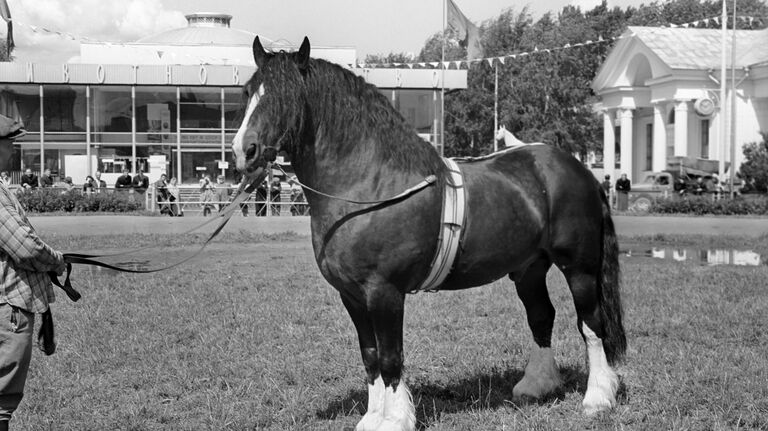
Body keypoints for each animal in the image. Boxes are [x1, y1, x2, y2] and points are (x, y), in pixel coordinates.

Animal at [232, 38, 624, 431]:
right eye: (248, 92)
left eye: (285, 96)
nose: (242, 150)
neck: (370, 183)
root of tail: (579, 170)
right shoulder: (352, 295)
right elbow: (370, 355)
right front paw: (372, 418)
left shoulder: (384, 292)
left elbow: (390, 357)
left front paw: (395, 419)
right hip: (529, 269)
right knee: (542, 317)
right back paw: (536, 386)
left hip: (579, 268)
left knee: (591, 324)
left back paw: (597, 398)